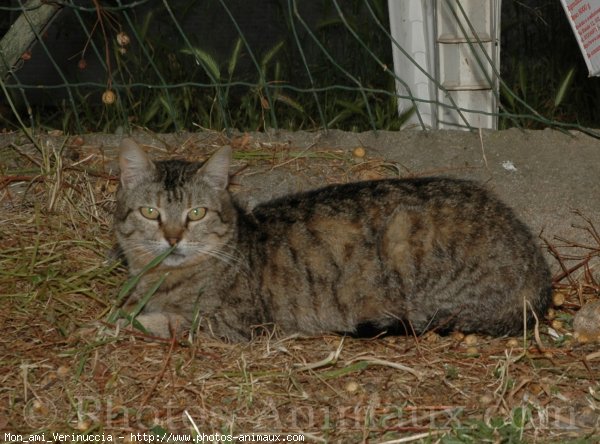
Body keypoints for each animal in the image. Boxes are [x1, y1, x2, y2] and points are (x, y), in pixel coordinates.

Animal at [113, 139, 552, 340]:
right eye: (150, 212)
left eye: (196, 213)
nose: (172, 238)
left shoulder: (240, 324)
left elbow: (170, 321)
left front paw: (130, 318)